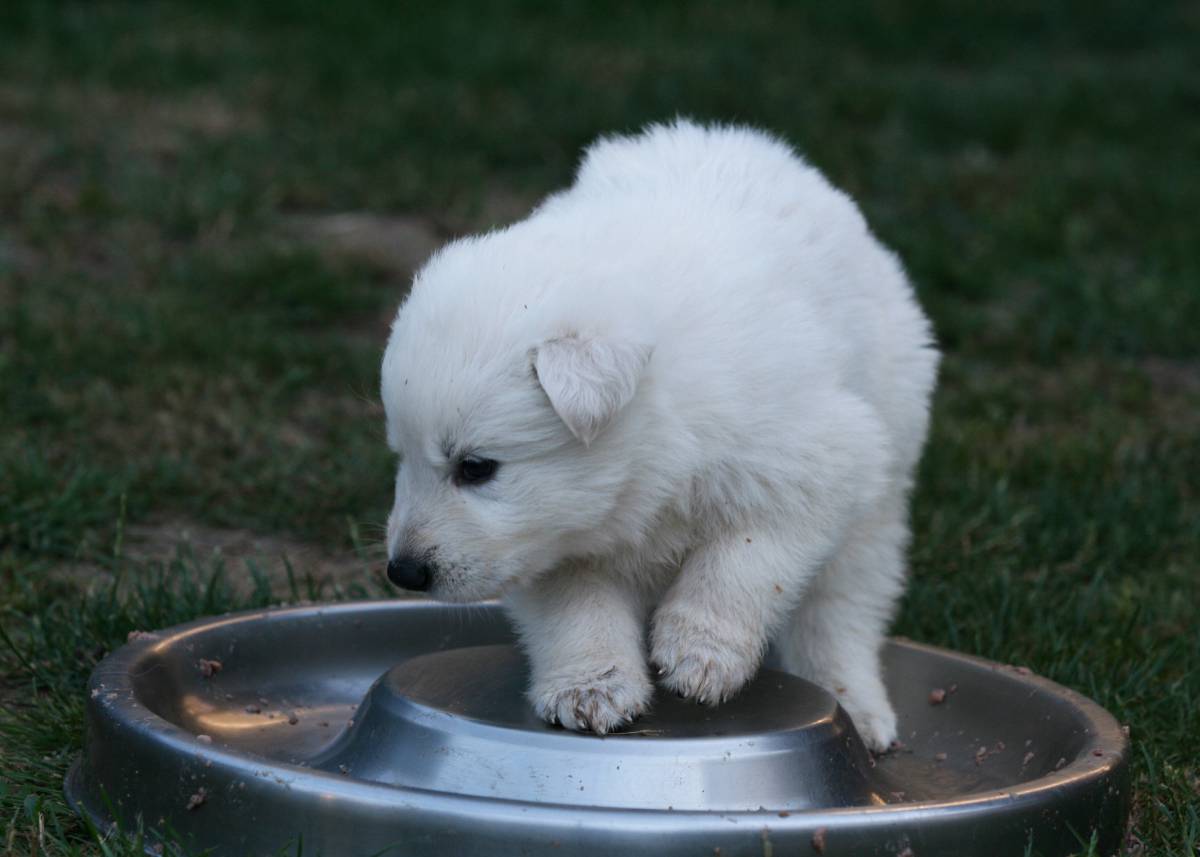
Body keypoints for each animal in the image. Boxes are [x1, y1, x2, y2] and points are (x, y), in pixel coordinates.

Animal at [380, 119, 938, 751]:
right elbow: (575, 607)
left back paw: (859, 709)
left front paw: (699, 652)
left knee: (839, 608)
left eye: (475, 467)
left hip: (882, 482)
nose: (403, 572)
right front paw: (590, 688)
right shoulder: (552, 541)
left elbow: (745, 558)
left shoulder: (818, 456)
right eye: (401, 457)